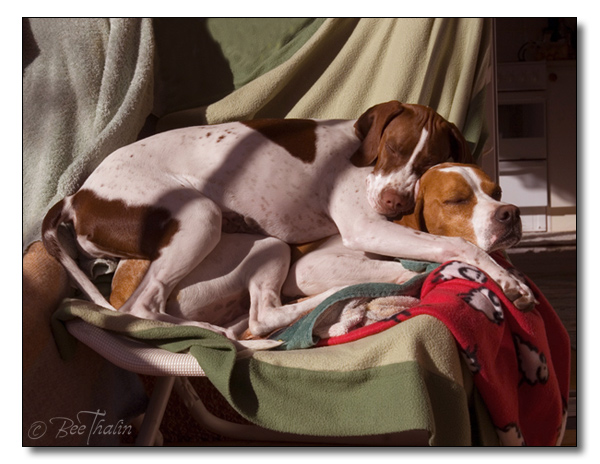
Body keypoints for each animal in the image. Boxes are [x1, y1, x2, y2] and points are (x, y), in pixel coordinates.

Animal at [42, 101, 534, 338]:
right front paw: (511, 285)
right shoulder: (366, 228)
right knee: (143, 308)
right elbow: (459, 245)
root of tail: (76, 196)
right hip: (204, 219)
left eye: (430, 161)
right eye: (394, 148)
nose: (394, 203)